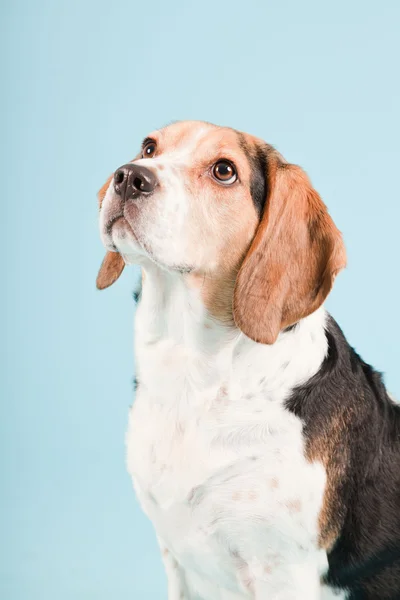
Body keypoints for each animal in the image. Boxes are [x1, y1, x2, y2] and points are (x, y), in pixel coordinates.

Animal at [96, 119, 400, 596]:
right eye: (148, 147)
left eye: (224, 171)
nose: (129, 177)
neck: (195, 381)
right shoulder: (177, 561)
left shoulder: (282, 573)